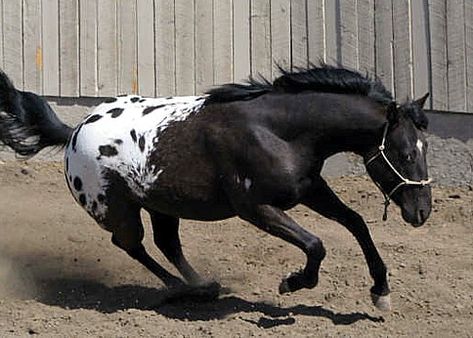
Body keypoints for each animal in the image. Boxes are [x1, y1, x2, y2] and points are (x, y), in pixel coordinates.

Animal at [0, 64, 430, 310]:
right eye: (406, 152)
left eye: (424, 148)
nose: (422, 212)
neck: (277, 129)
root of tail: (74, 132)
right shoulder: (255, 207)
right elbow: (315, 244)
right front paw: (293, 283)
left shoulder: (310, 188)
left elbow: (356, 222)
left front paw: (381, 290)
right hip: (115, 209)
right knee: (131, 245)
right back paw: (182, 289)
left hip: (162, 204)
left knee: (166, 244)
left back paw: (201, 286)